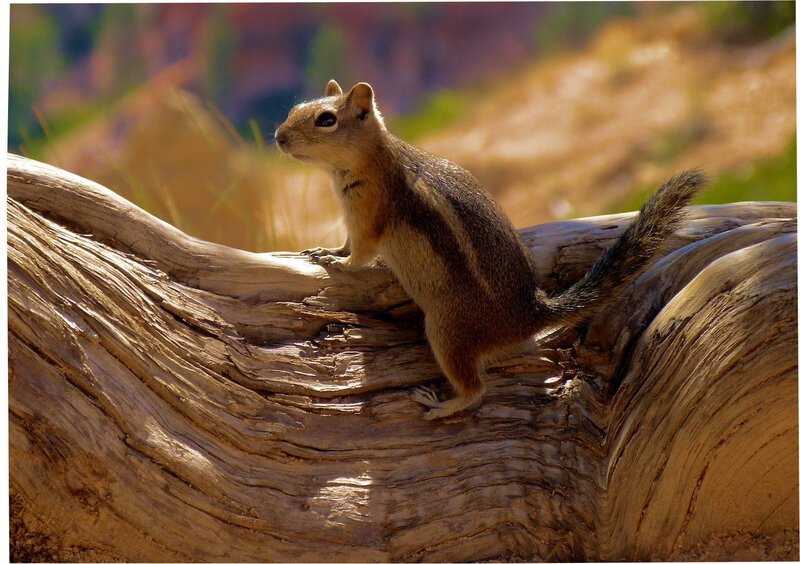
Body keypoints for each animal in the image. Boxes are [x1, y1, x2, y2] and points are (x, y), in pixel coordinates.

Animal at [275, 79, 705, 420]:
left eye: (326, 119)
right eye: (294, 109)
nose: (278, 137)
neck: (370, 158)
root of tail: (531, 313)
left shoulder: (370, 213)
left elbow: (359, 255)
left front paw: (334, 260)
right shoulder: (353, 218)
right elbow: (349, 241)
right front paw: (326, 248)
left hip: (447, 329)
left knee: (476, 389)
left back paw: (438, 406)